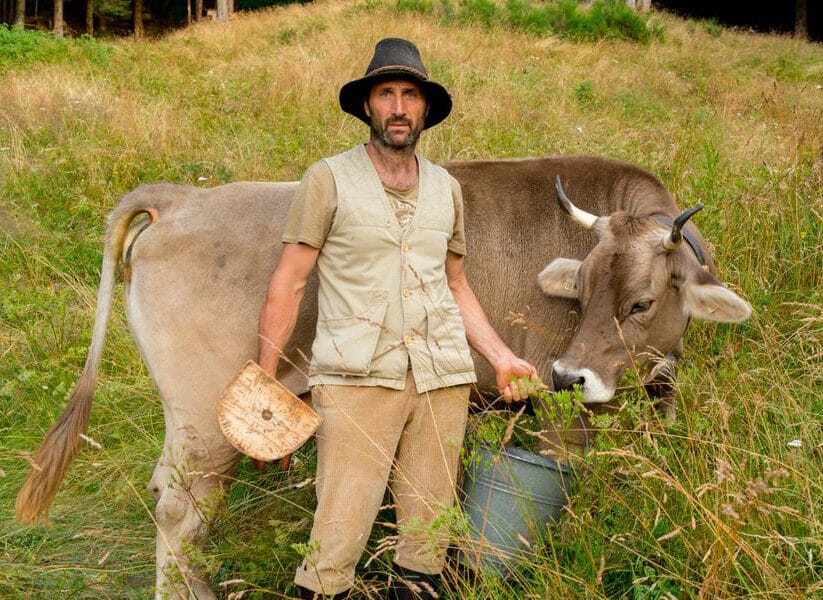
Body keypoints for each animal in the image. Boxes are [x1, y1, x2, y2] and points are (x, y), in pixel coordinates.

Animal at [16, 155, 751, 599]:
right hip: (208, 414)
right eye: (583, 293)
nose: (571, 373)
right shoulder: (558, 416)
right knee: (178, 512)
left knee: (170, 496)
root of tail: (180, 199)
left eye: (640, 303)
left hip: (187, 421)